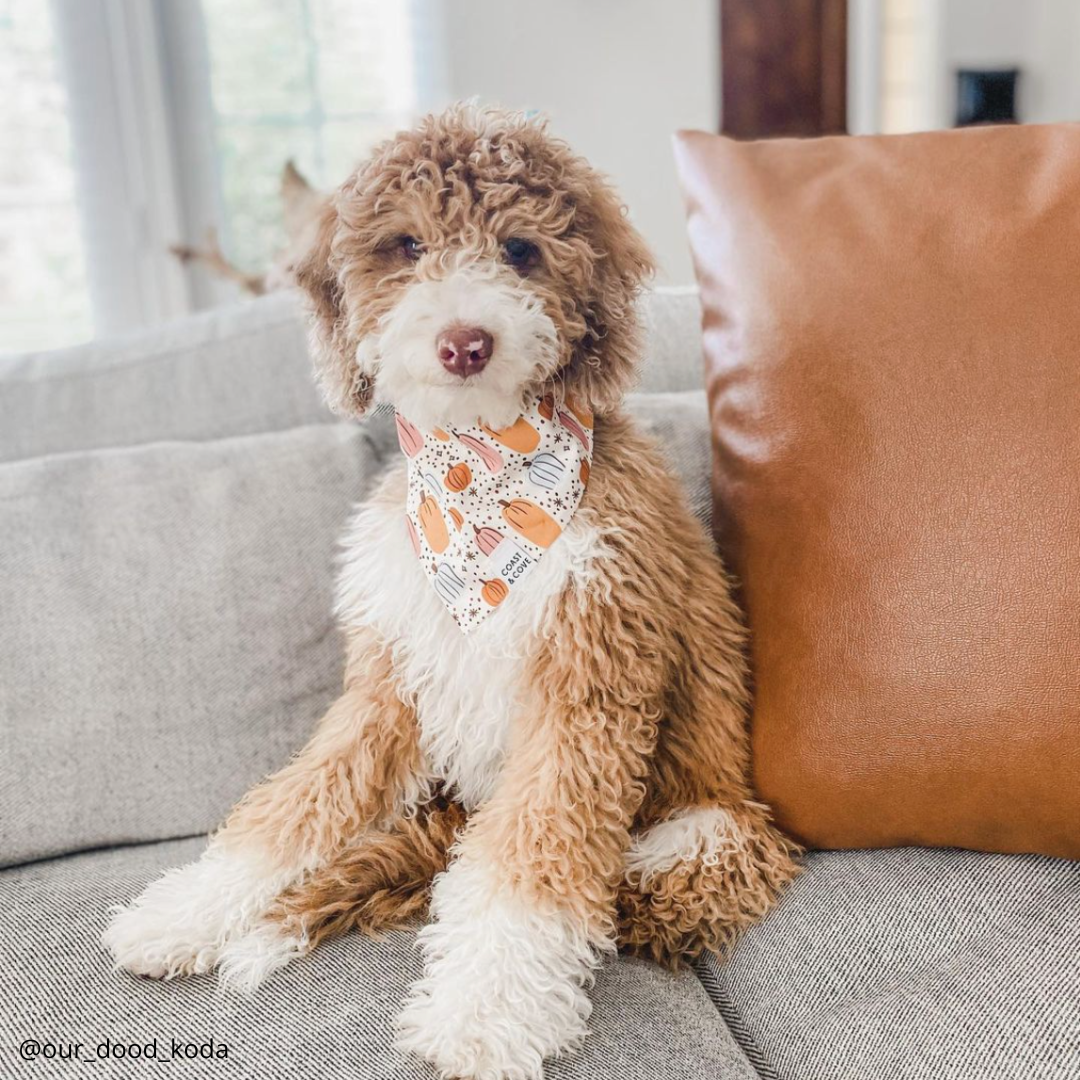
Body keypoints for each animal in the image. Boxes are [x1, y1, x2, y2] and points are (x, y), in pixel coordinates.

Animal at [105, 103, 799, 1080]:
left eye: (521, 251)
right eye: (405, 245)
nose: (465, 343)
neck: (482, 481)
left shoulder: (585, 693)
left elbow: (528, 863)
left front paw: (483, 1013)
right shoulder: (387, 686)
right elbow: (296, 805)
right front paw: (184, 912)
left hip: (703, 842)